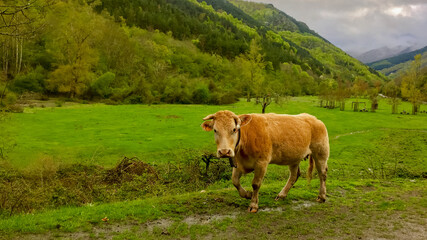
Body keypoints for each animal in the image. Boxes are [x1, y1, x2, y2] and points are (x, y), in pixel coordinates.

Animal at [201, 110, 332, 212]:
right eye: (215, 130)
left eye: (234, 129)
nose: (224, 152)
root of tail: (314, 118)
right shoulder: (239, 163)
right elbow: (235, 181)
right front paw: (247, 194)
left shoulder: (262, 162)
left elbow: (256, 184)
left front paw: (253, 205)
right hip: (294, 156)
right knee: (294, 175)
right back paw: (282, 195)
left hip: (321, 153)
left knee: (322, 174)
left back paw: (321, 196)